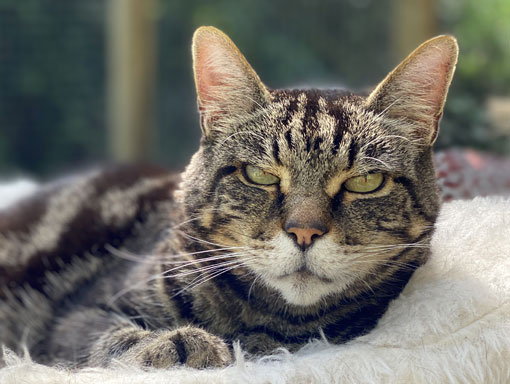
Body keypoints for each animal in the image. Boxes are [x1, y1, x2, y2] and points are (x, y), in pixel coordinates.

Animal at [0, 27, 458, 368]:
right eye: (259, 175)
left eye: (365, 182)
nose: (304, 232)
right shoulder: (77, 316)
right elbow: (114, 338)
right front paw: (178, 345)